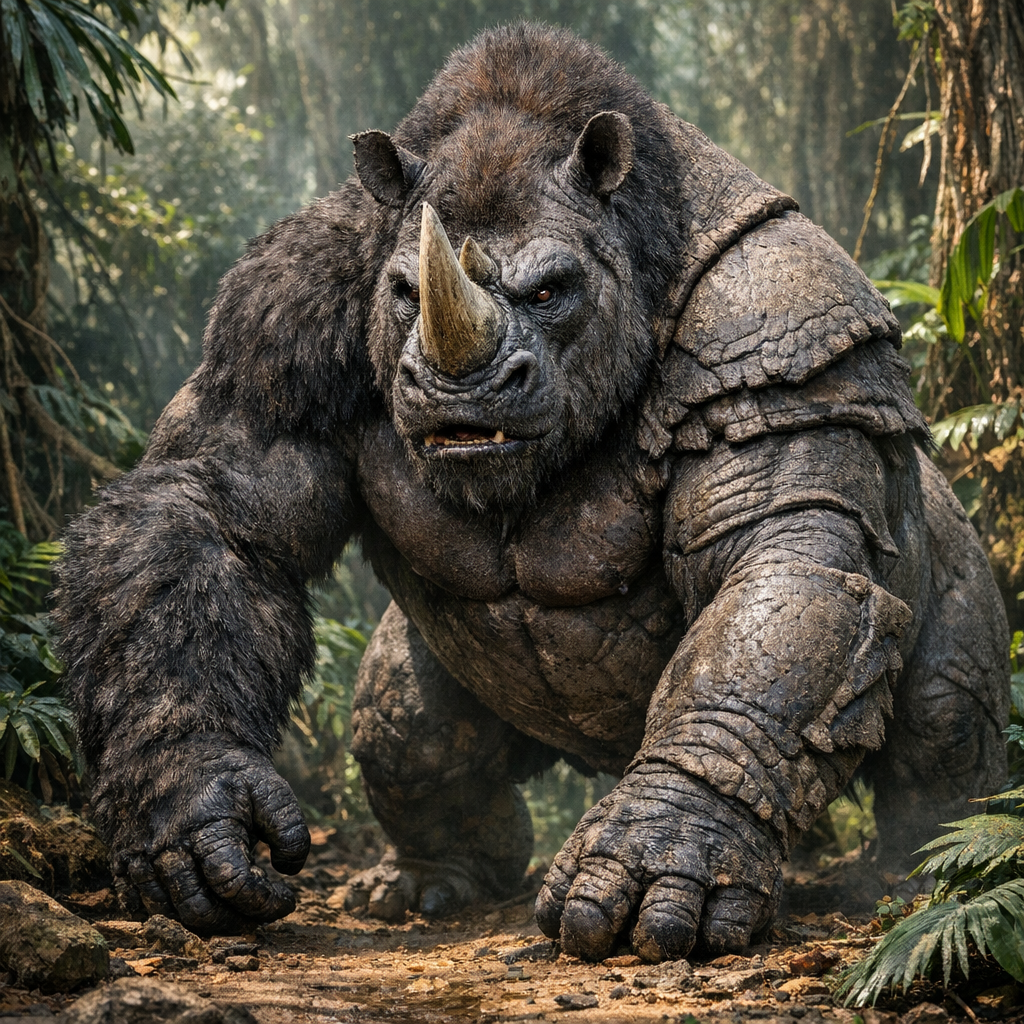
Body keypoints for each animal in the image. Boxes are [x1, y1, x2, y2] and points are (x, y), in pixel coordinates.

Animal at [55, 24, 1009, 962]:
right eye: (402, 291)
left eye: (551, 291)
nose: (462, 390)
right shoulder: (277, 313)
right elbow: (211, 511)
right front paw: (193, 822)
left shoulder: (780, 338)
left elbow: (785, 562)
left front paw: (653, 878)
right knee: (404, 724)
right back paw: (426, 888)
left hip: (950, 533)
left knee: (937, 705)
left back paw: (913, 880)